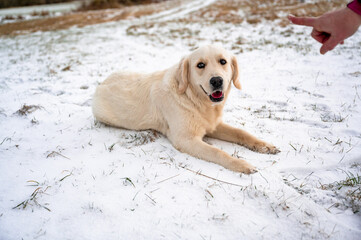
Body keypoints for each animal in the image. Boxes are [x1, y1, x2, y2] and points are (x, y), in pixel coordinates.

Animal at [92, 45, 278, 173]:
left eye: (223, 62)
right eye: (200, 65)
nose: (217, 81)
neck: (194, 99)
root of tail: (102, 82)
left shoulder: (213, 125)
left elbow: (241, 133)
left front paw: (264, 146)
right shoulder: (186, 139)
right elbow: (218, 152)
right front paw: (242, 164)